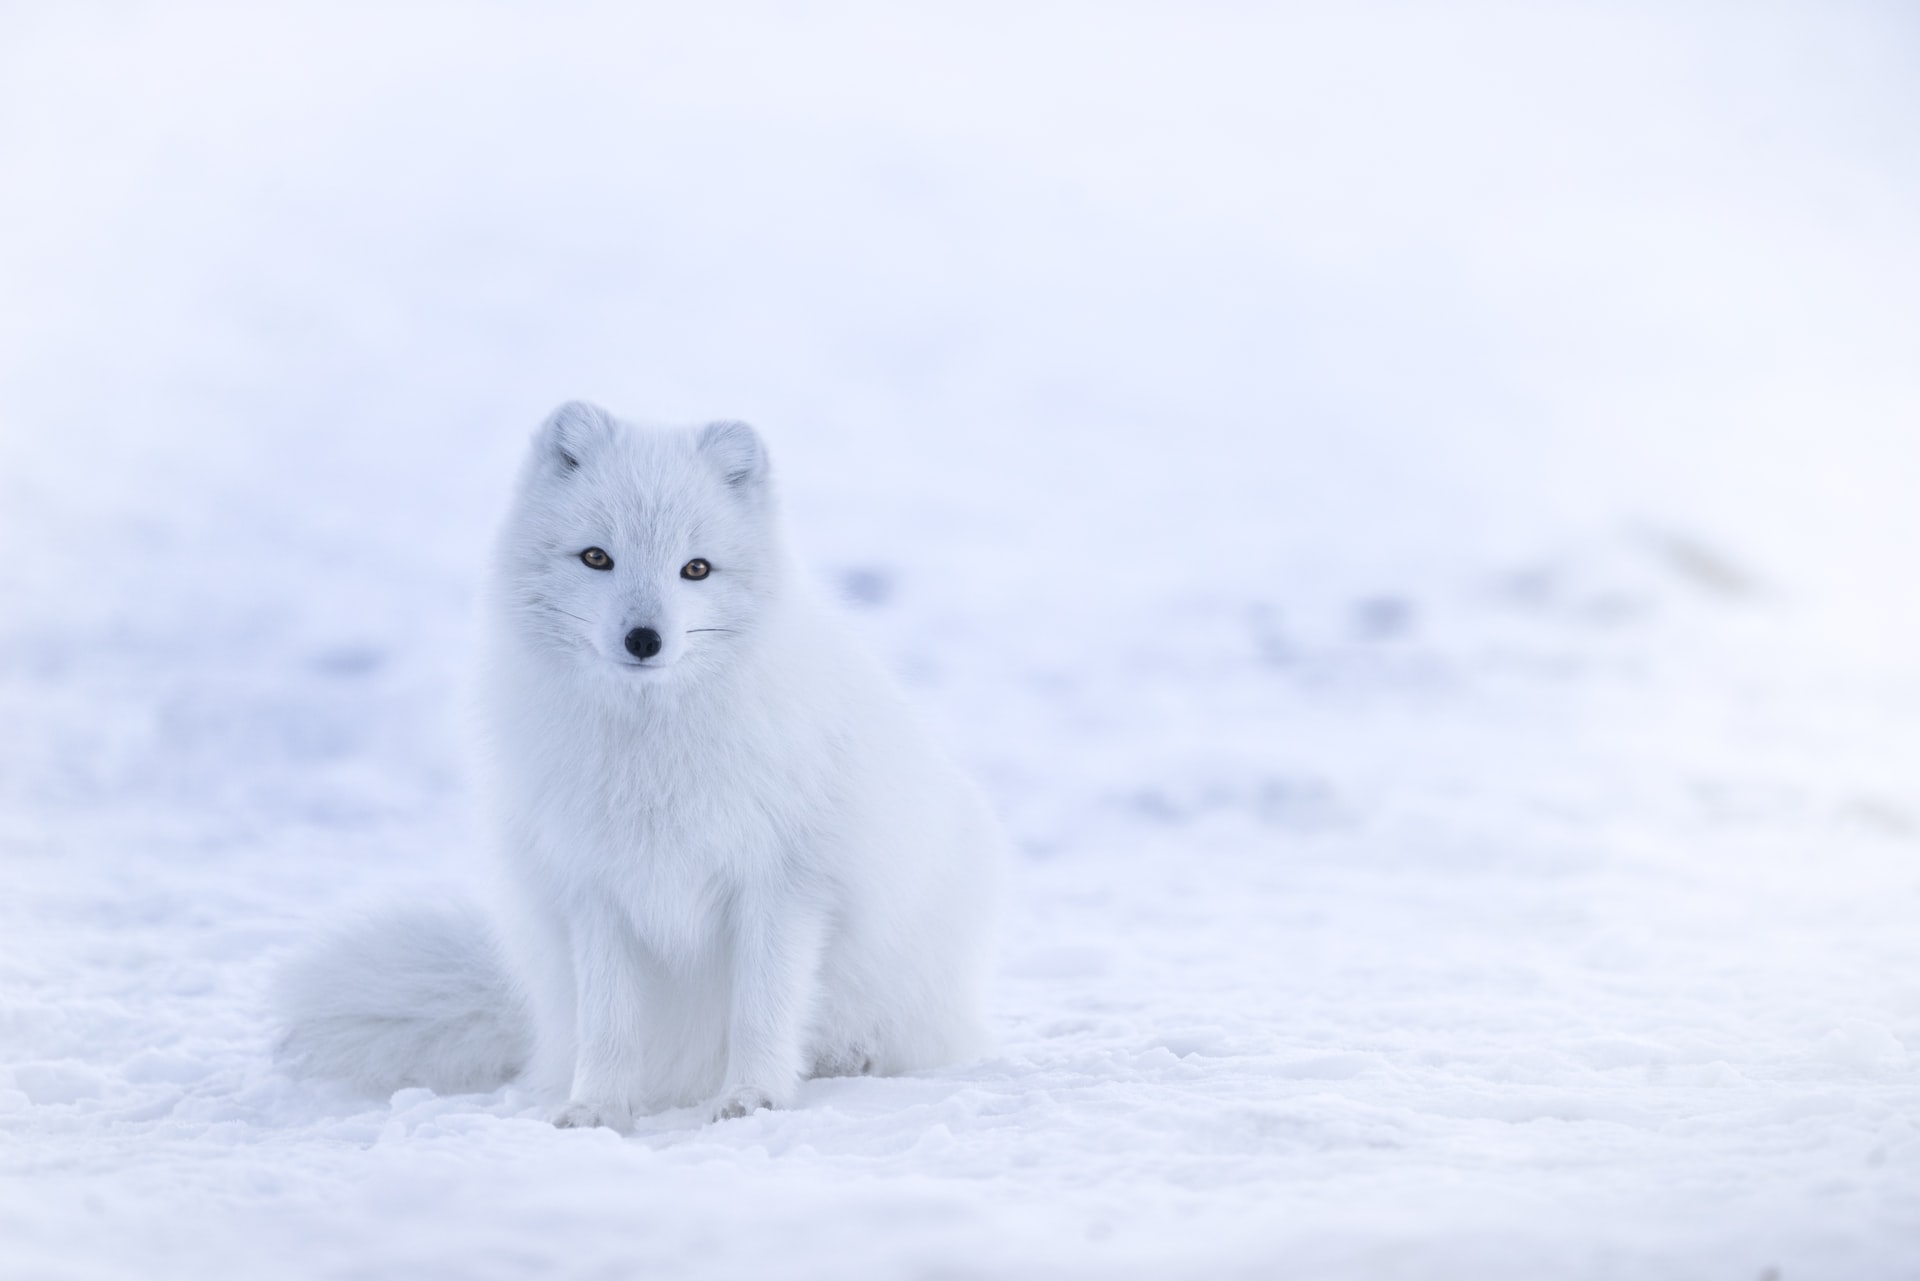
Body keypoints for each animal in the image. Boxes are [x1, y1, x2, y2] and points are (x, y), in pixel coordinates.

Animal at [284, 405, 1013, 1129]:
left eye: (696, 568)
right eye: (597, 557)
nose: (644, 639)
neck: (651, 749)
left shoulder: (782, 882)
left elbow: (762, 1007)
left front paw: (753, 1097)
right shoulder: (595, 887)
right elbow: (609, 1020)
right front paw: (598, 1107)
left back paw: (847, 1057)